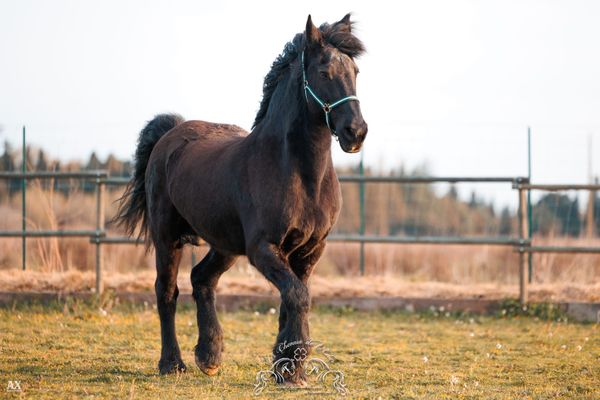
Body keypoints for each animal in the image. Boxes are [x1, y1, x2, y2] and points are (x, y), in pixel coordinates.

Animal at [112, 11, 366, 382]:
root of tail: (170, 133)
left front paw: (287, 366)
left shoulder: (310, 251)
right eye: (324, 72)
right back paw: (172, 363)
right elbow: (297, 296)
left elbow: (293, 298)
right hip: (166, 237)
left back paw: (209, 356)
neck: (299, 175)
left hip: (224, 245)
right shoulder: (263, 248)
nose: (356, 132)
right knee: (167, 291)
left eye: (355, 72)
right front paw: (292, 368)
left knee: (201, 280)